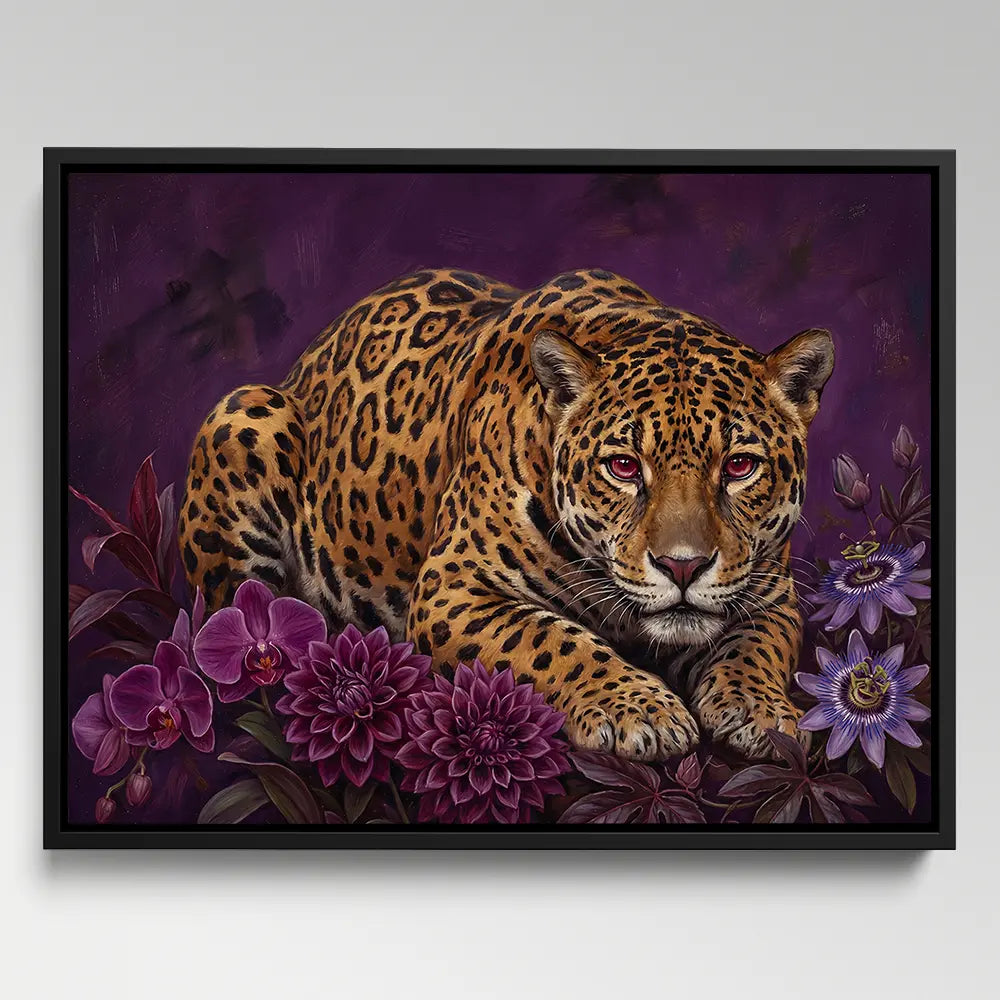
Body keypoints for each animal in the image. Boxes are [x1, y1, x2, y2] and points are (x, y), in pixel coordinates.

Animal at [178, 268, 834, 761]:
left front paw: (765, 714)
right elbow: (551, 638)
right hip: (244, 412)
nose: (683, 567)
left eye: (740, 465)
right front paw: (641, 711)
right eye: (623, 467)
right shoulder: (452, 589)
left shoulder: (773, 593)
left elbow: (753, 647)